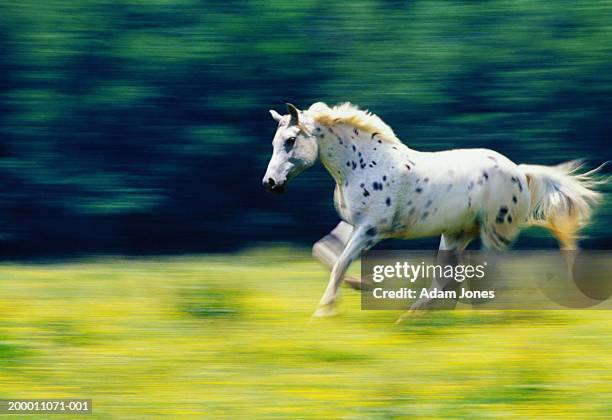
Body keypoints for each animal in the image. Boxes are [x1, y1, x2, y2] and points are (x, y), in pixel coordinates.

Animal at [262, 102, 604, 318]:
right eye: (275, 142)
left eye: (290, 140)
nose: (270, 183)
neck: (361, 165)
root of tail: (520, 173)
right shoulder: (353, 224)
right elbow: (326, 253)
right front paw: (360, 285)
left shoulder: (372, 229)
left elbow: (340, 262)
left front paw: (324, 310)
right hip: (455, 235)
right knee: (449, 279)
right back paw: (415, 316)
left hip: (494, 235)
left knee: (486, 279)